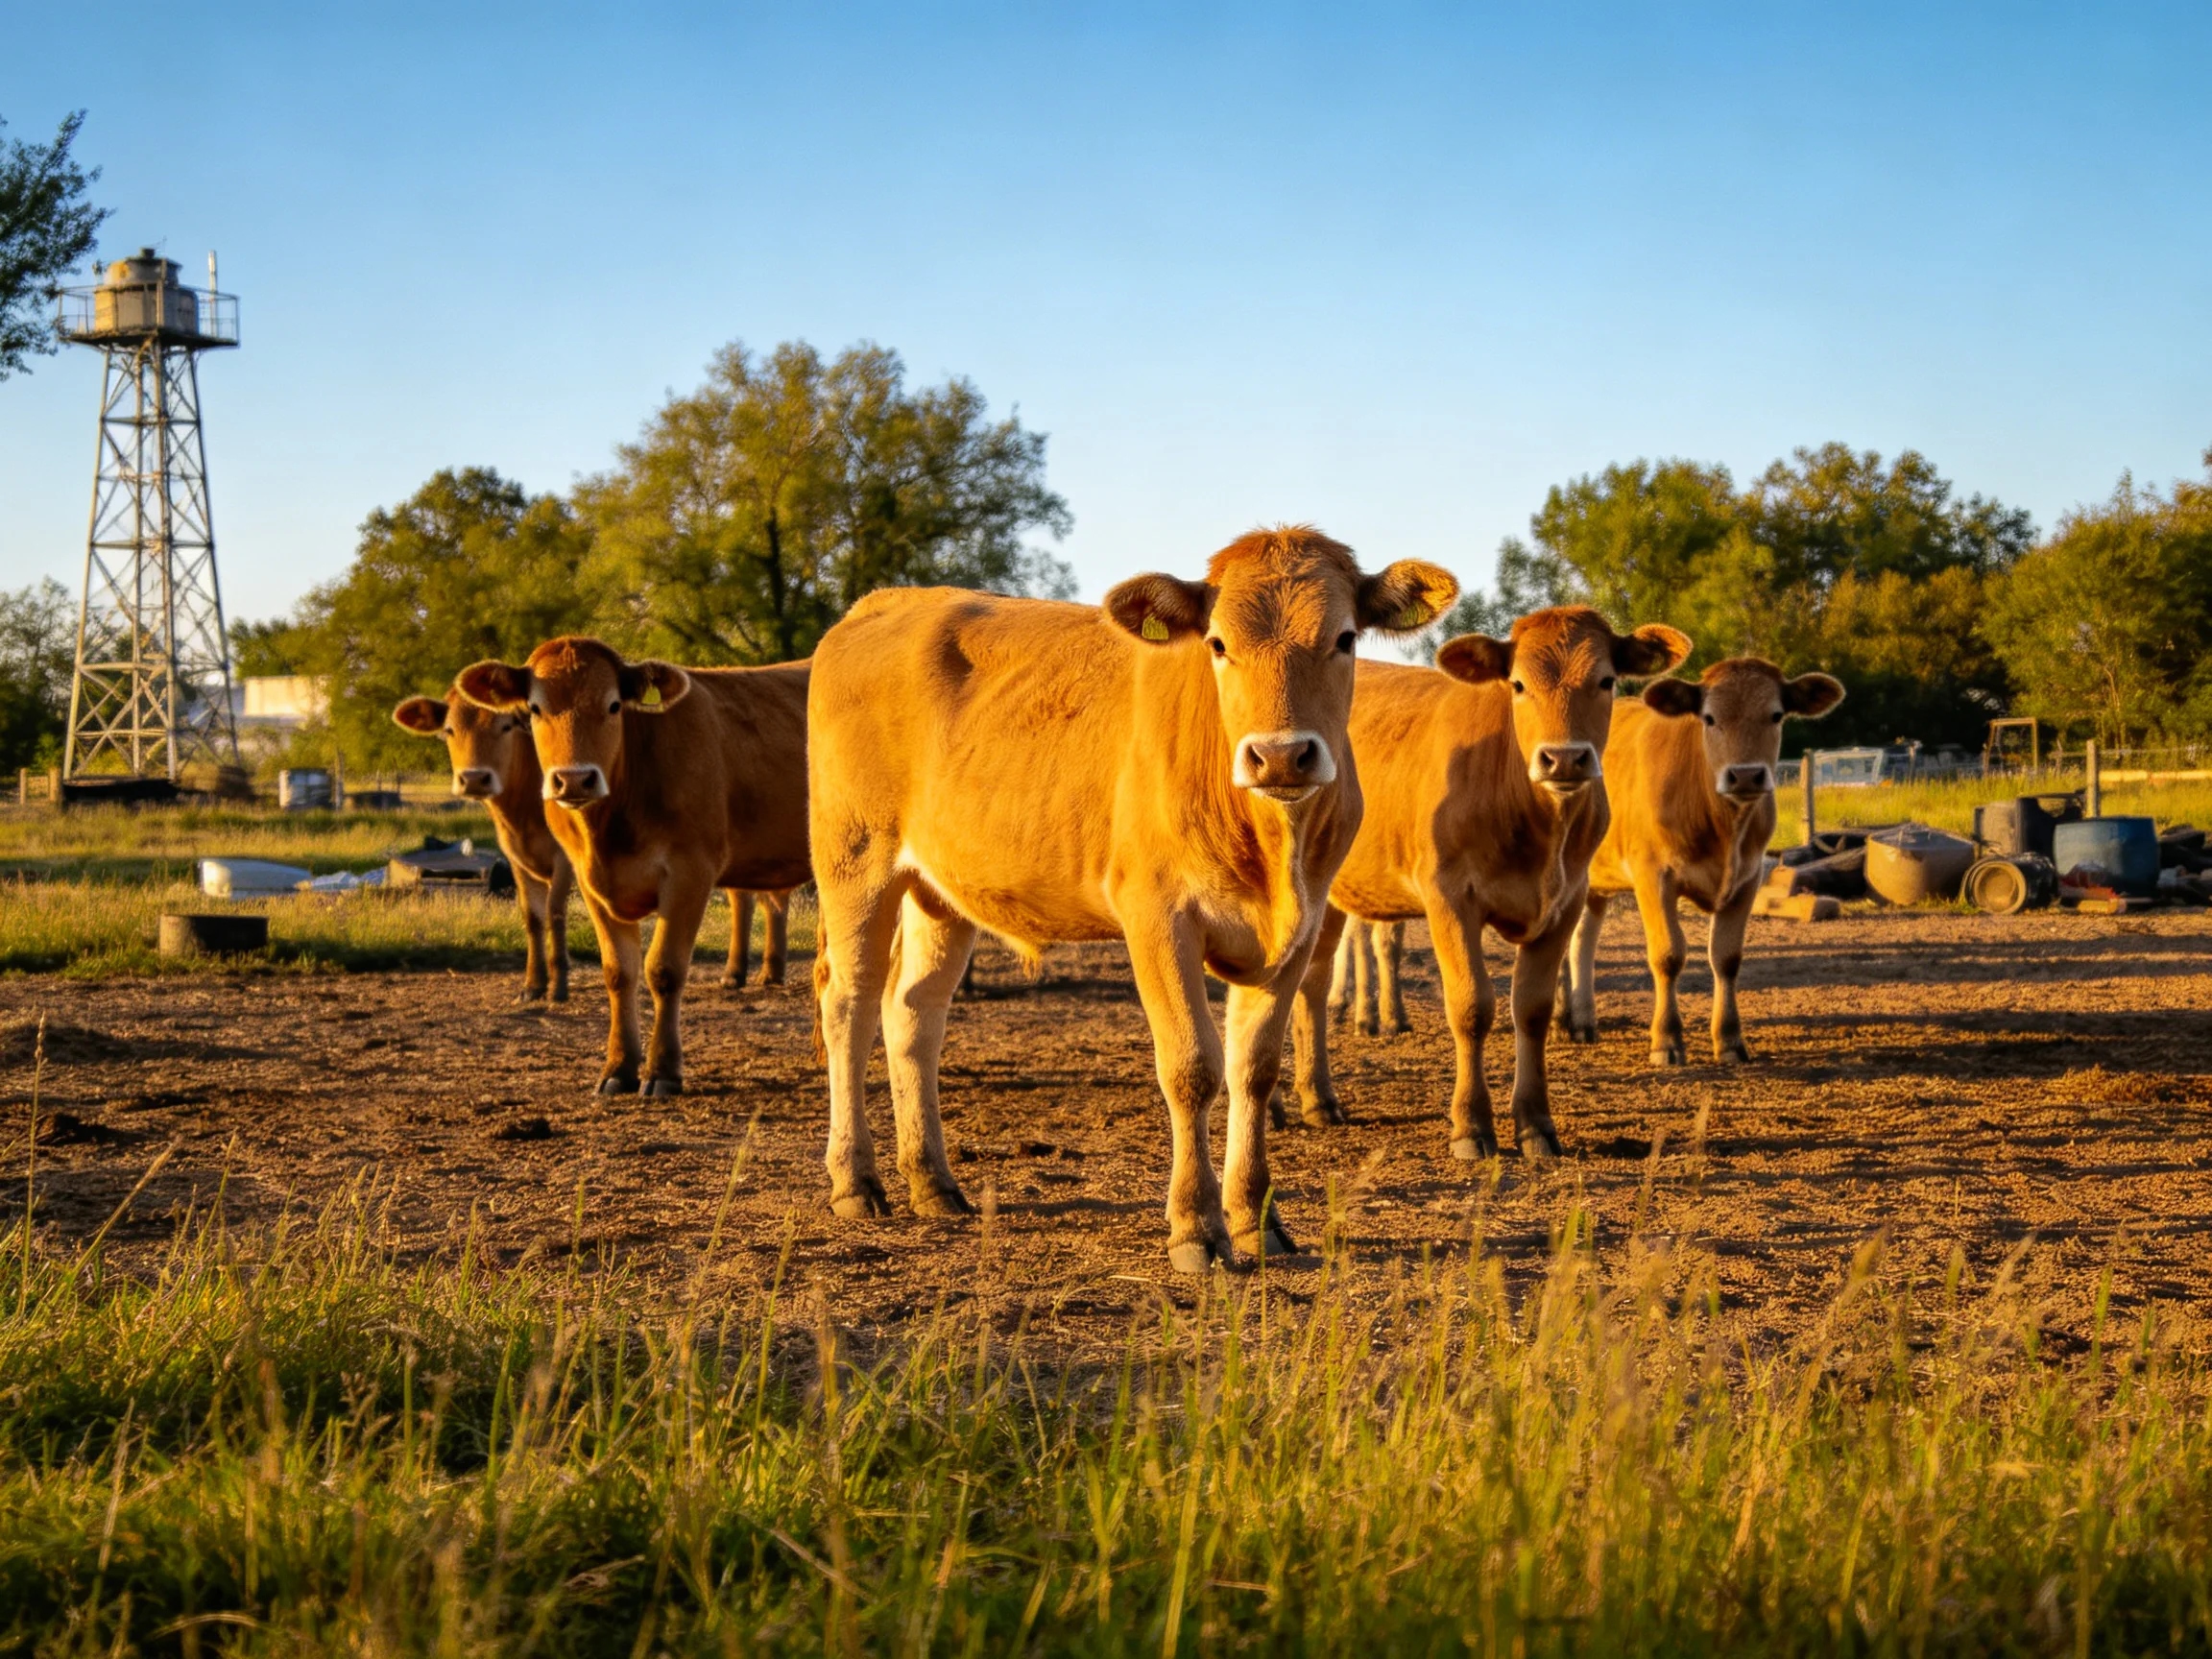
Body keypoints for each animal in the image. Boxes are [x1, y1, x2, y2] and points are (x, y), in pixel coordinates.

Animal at [392, 688, 575, 1003]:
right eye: (449, 729)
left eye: (506, 726)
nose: (475, 778)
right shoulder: (518, 859)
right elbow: (533, 916)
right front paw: (533, 984)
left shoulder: (564, 858)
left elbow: (555, 912)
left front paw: (558, 986)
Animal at [454, 638, 812, 1096]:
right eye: (534, 708)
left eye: (613, 705)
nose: (575, 780)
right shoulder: (588, 879)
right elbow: (618, 972)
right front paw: (619, 1067)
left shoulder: (689, 872)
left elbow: (663, 969)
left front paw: (663, 1071)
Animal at [805, 527, 1456, 1272]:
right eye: (1218, 643)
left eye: (1345, 638)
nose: (1281, 756)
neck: (1268, 843)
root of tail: (887, 602)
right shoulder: (1157, 916)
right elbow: (1192, 1067)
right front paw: (1196, 1227)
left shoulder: (1300, 928)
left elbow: (1254, 1069)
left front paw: (1256, 1219)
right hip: (855, 863)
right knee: (849, 1004)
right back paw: (855, 1180)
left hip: (940, 891)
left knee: (913, 1013)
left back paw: (933, 1181)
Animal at [1285, 608, 1692, 1159]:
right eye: (1518, 684)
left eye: (1606, 680)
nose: (1564, 759)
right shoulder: (1449, 896)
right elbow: (1471, 1007)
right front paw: (1471, 1126)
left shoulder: (1566, 901)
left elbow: (1532, 1010)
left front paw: (1536, 1125)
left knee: (1311, 979)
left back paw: (1318, 1099)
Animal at [1558, 657, 1844, 1065]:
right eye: (1709, 718)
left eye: (1776, 715)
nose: (1745, 775)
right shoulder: (1653, 876)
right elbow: (1667, 955)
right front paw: (1666, 1040)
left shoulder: (1748, 878)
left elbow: (1726, 957)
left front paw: (1729, 1040)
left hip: (1595, 878)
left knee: (1581, 937)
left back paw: (1580, 1021)